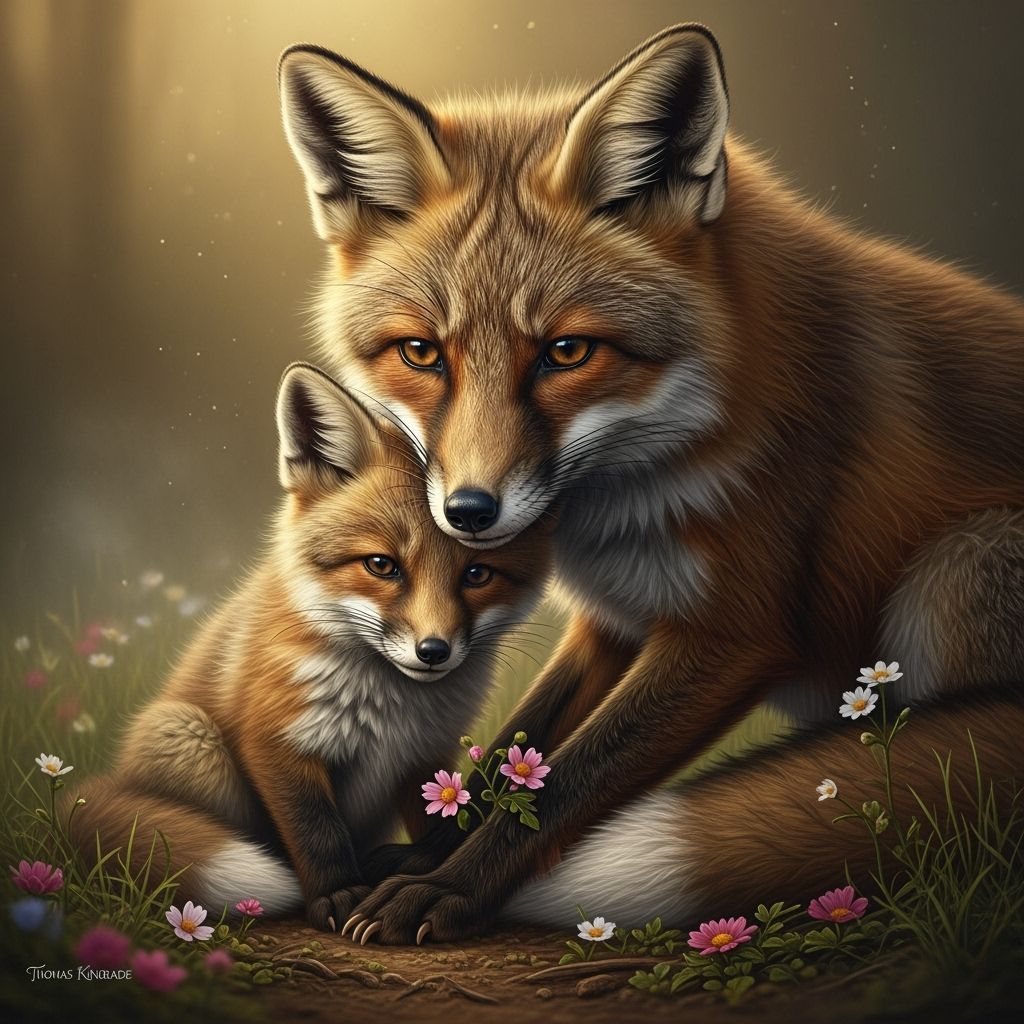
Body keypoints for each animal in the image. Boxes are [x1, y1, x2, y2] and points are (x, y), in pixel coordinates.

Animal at [70, 363, 551, 932]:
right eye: (382, 565)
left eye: (477, 574)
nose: (433, 651)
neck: (390, 711)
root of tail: (107, 782)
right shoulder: (277, 740)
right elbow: (317, 831)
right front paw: (338, 893)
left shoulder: (424, 758)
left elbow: (438, 820)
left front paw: (419, 872)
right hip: (188, 735)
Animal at [277, 23, 1024, 942]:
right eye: (422, 353)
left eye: (566, 351)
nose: (467, 513)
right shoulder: (616, 616)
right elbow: (514, 757)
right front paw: (428, 857)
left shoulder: (735, 631)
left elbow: (568, 784)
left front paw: (447, 891)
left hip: (959, 568)